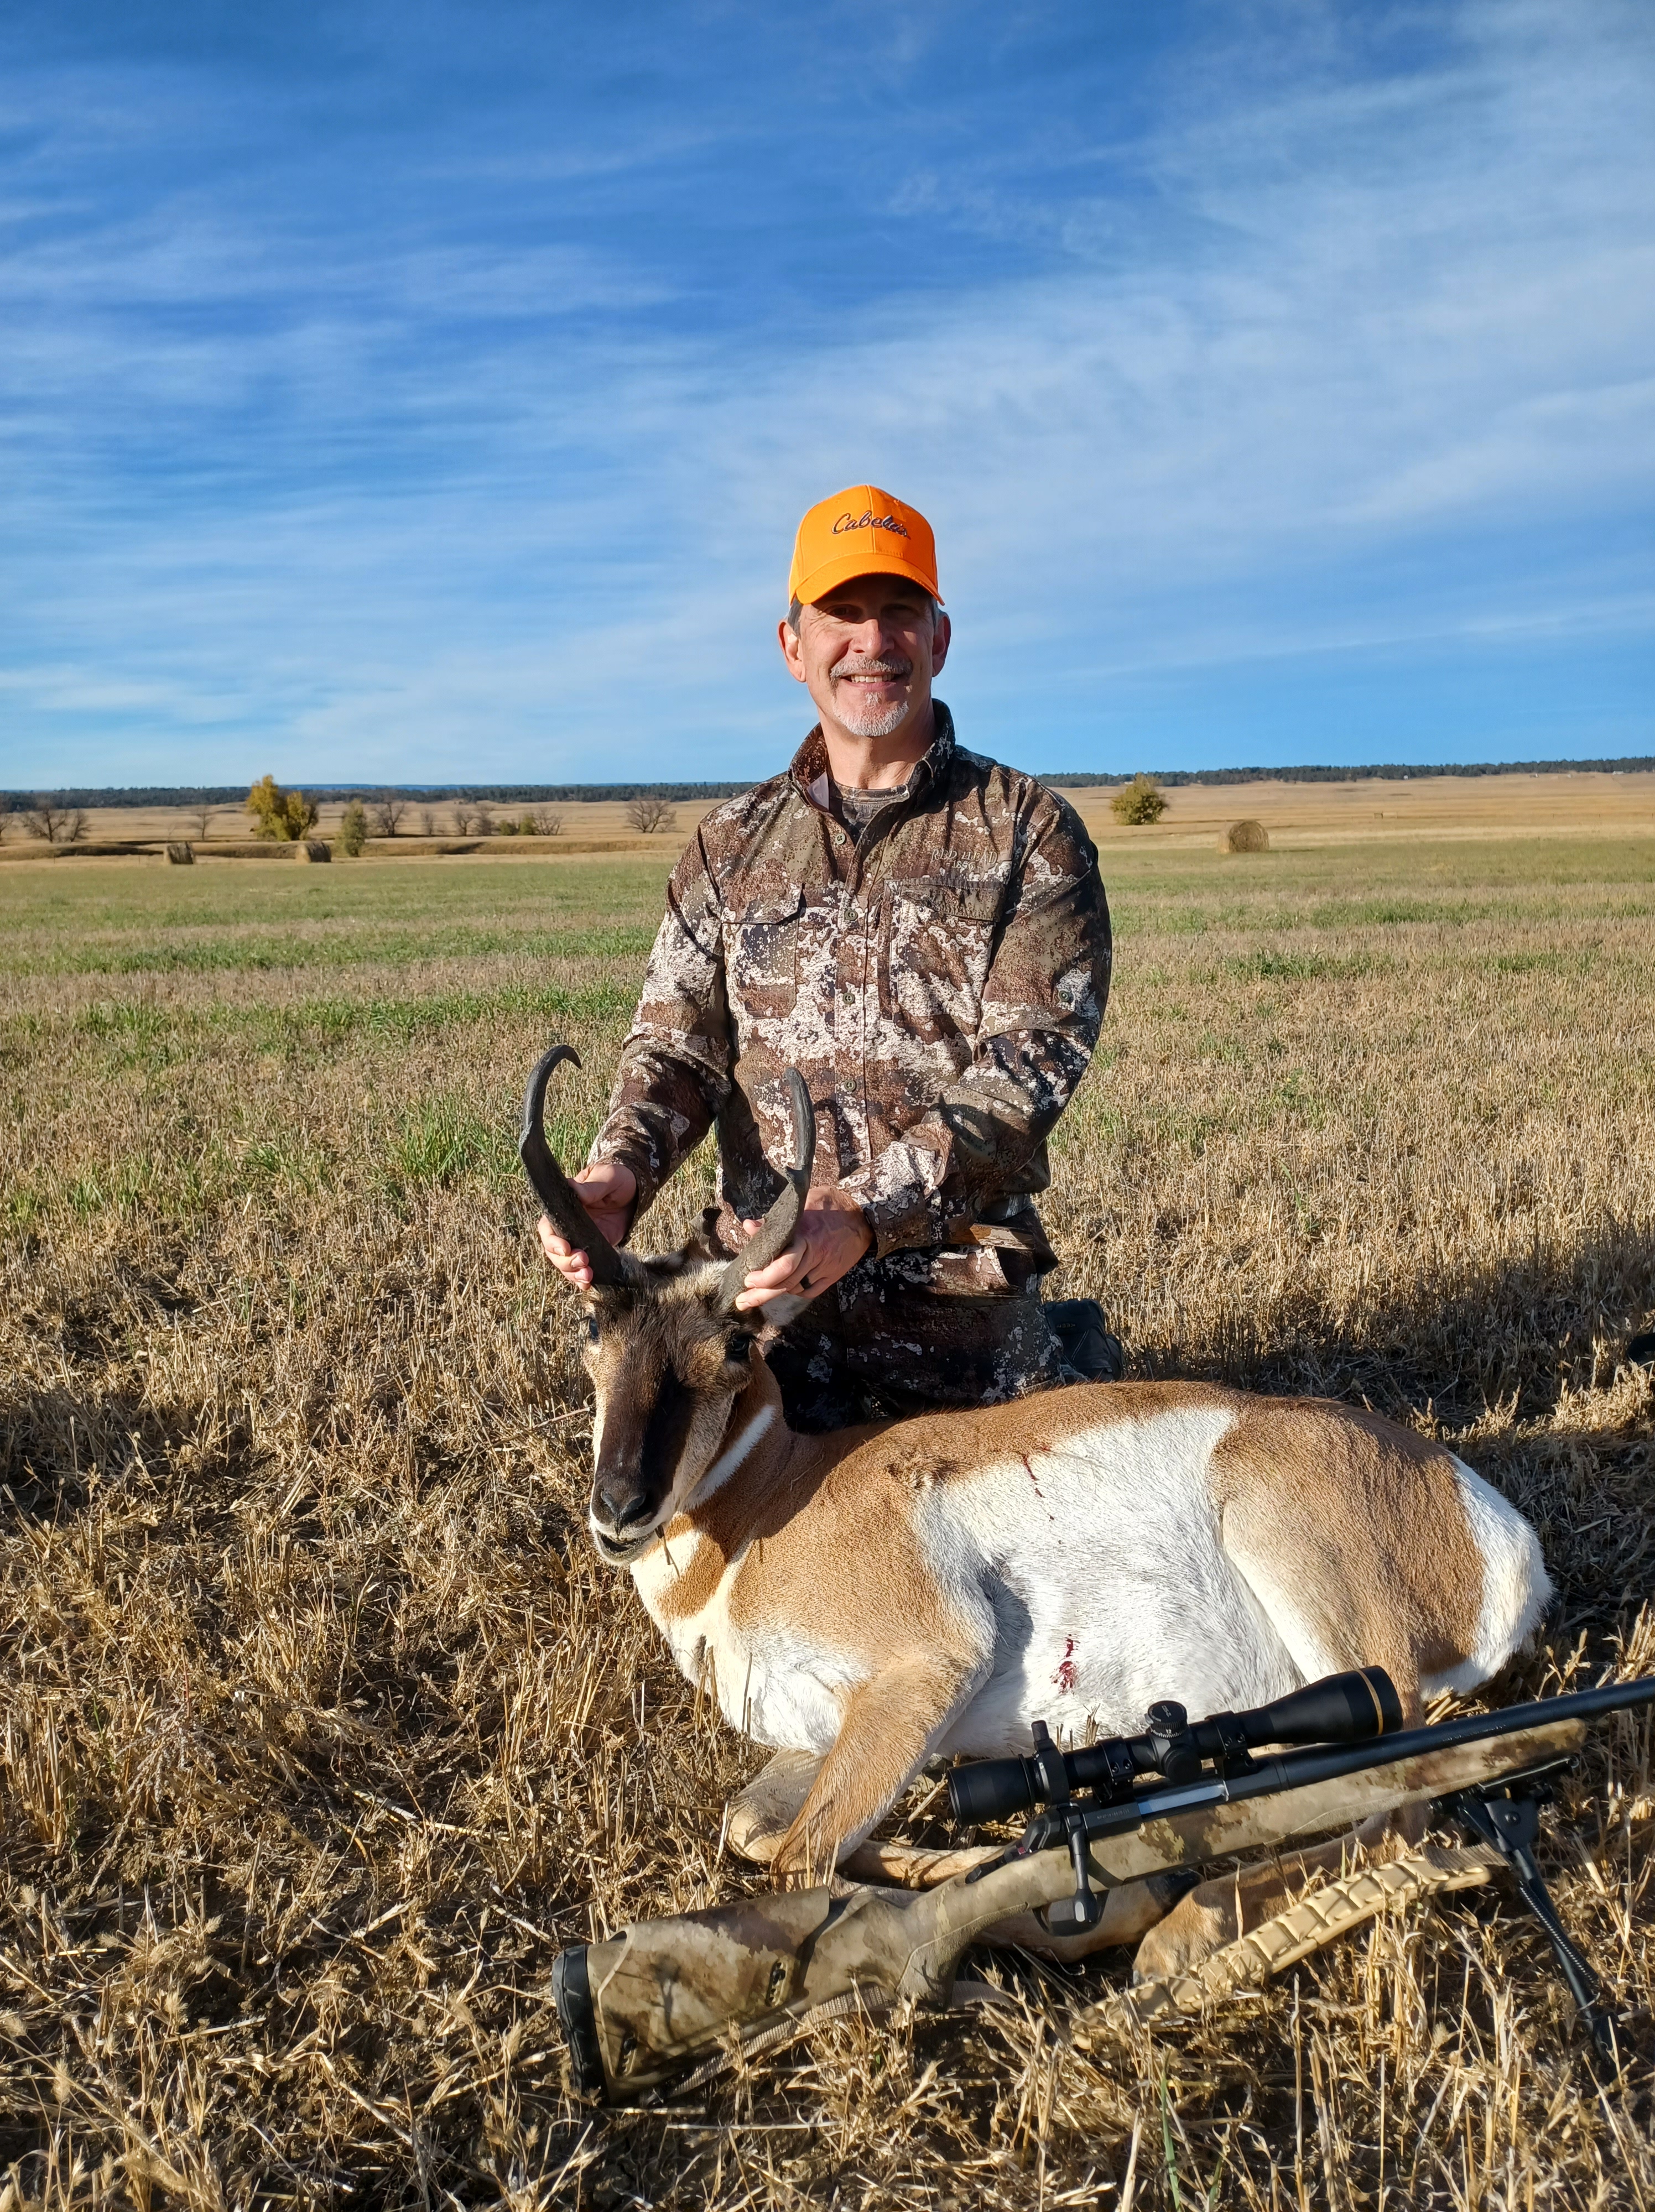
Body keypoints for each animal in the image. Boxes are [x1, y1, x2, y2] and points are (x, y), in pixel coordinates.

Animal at [524, 1047, 1551, 1977]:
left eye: (736, 1346)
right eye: (592, 1326)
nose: (620, 1505)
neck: (777, 1495)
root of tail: (1492, 1523)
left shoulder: (924, 1669)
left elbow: (800, 1866)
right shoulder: (821, 1732)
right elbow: (755, 1828)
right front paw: (962, 1862)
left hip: (1306, 1579)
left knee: (1397, 1804)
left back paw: (1184, 1933)